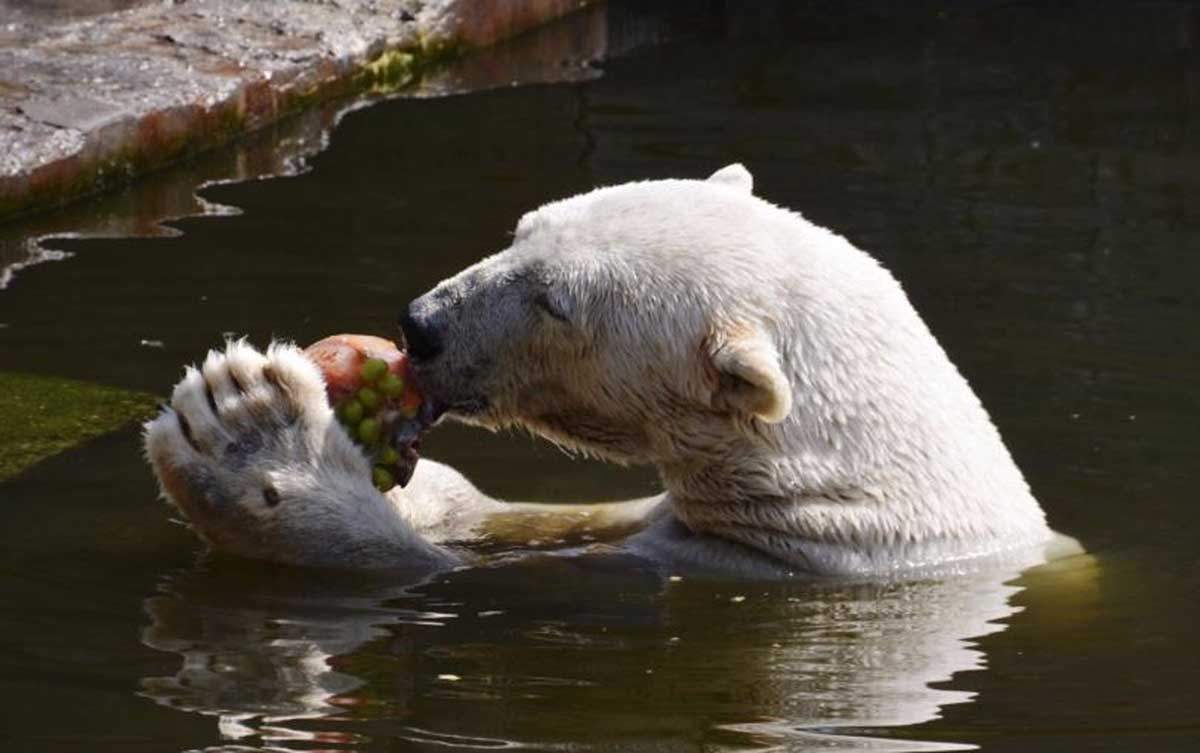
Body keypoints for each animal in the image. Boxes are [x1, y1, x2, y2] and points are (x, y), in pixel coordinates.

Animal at [142, 164, 1080, 575]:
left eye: (557, 302)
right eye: (523, 227)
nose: (421, 325)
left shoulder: (738, 566)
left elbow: (434, 573)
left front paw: (245, 431)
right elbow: (520, 518)